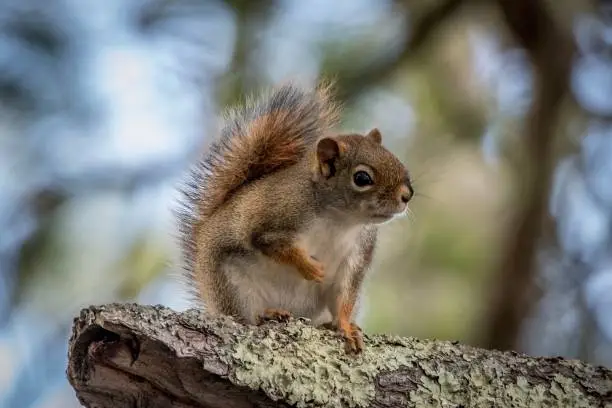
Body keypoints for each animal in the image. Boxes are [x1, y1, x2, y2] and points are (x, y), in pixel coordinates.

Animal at [179, 82, 414, 354]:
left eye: (398, 161)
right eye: (362, 178)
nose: (407, 195)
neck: (340, 219)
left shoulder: (357, 254)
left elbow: (345, 296)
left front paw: (346, 327)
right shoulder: (274, 217)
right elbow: (271, 243)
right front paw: (310, 267)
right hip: (232, 286)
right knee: (244, 317)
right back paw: (267, 314)